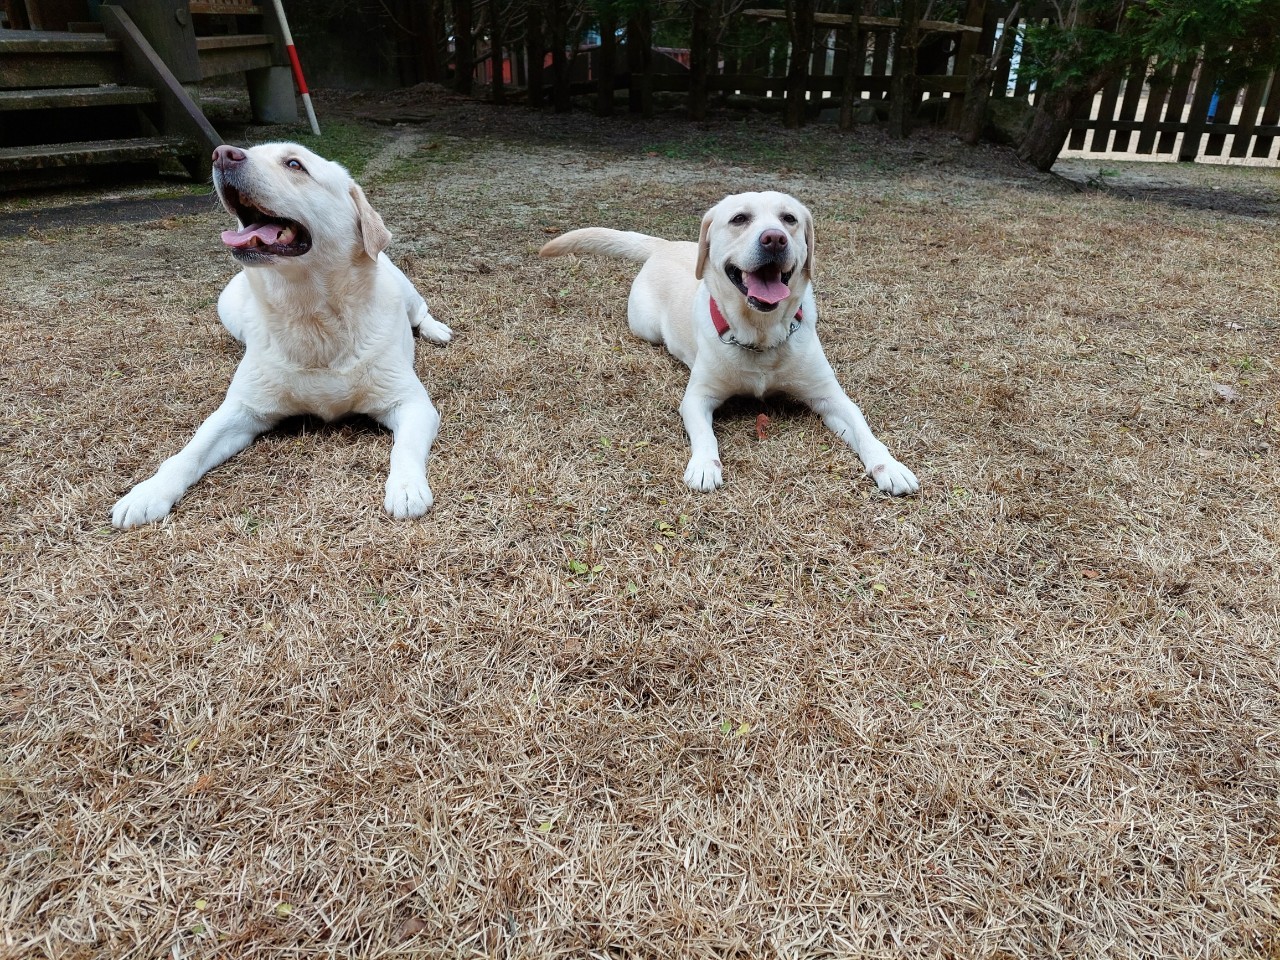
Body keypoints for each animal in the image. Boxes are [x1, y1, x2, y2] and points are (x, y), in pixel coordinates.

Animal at [110, 142, 453, 529]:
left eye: (294, 164)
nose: (222, 154)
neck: (311, 316)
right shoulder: (241, 409)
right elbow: (191, 449)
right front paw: (149, 492)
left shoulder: (411, 403)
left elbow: (404, 449)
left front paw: (407, 488)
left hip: (406, 290)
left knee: (420, 311)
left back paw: (436, 330)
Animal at [540, 193, 921, 499]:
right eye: (740, 218)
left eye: (789, 219)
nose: (774, 239)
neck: (761, 335)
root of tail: (664, 244)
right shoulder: (697, 397)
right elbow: (704, 435)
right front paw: (705, 466)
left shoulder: (830, 396)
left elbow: (865, 430)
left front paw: (889, 466)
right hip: (645, 328)